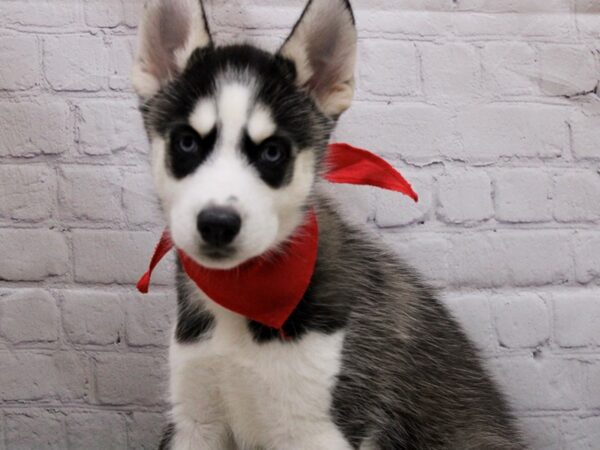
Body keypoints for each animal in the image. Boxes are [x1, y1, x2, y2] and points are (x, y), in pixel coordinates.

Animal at [132, 0, 524, 450]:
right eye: (187, 142)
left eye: (272, 152)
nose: (216, 223)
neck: (241, 294)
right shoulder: (195, 421)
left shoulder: (315, 429)